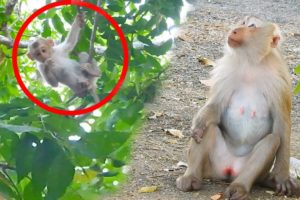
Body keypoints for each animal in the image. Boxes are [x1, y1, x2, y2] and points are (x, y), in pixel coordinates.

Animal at [176, 16, 300, 199]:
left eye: (252, 26)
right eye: (242, 22)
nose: (234, 30)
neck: (251, 63)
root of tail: (229, 171)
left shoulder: (280, 80)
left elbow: (282, 124)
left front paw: (282, 177)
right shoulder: (225, 71)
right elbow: (215, 106)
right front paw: (198, 125)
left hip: (249, 171)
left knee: (271, 140)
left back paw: (240, 187)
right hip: (212, 165)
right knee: (209, 128)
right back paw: (191, 177)